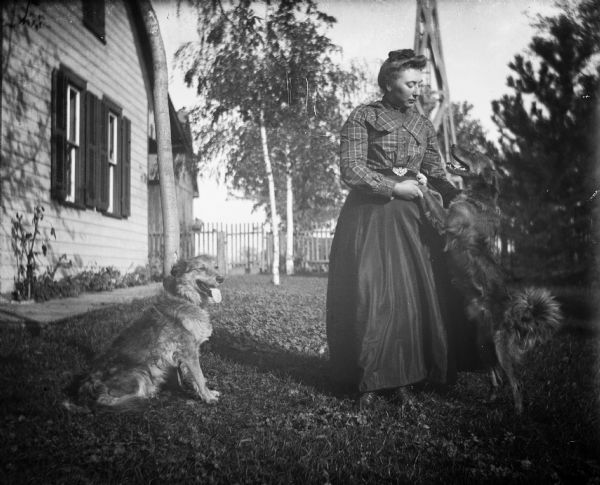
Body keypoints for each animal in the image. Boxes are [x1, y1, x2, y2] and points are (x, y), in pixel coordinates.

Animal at [62, 255, 225, 410]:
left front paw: (204, 393)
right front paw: (208, 397)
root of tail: (86, 387)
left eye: (216, 267)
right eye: (201, 268)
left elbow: (191, 378)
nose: (221, 278)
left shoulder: (183, 355)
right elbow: (200, 377)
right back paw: (145, 398)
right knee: (108, 400)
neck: (186, 298)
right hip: (140, 373)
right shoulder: (189, 352)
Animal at [440, 144, 564, 412]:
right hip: (483, 346)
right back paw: (490, 399)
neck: (477, 198)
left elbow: (431, 200)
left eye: (472, 152)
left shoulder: (449, 223)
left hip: (500, 348)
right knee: (495, 377)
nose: (452, 146)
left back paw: (517, 413)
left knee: (515, 383)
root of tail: (516, 315)